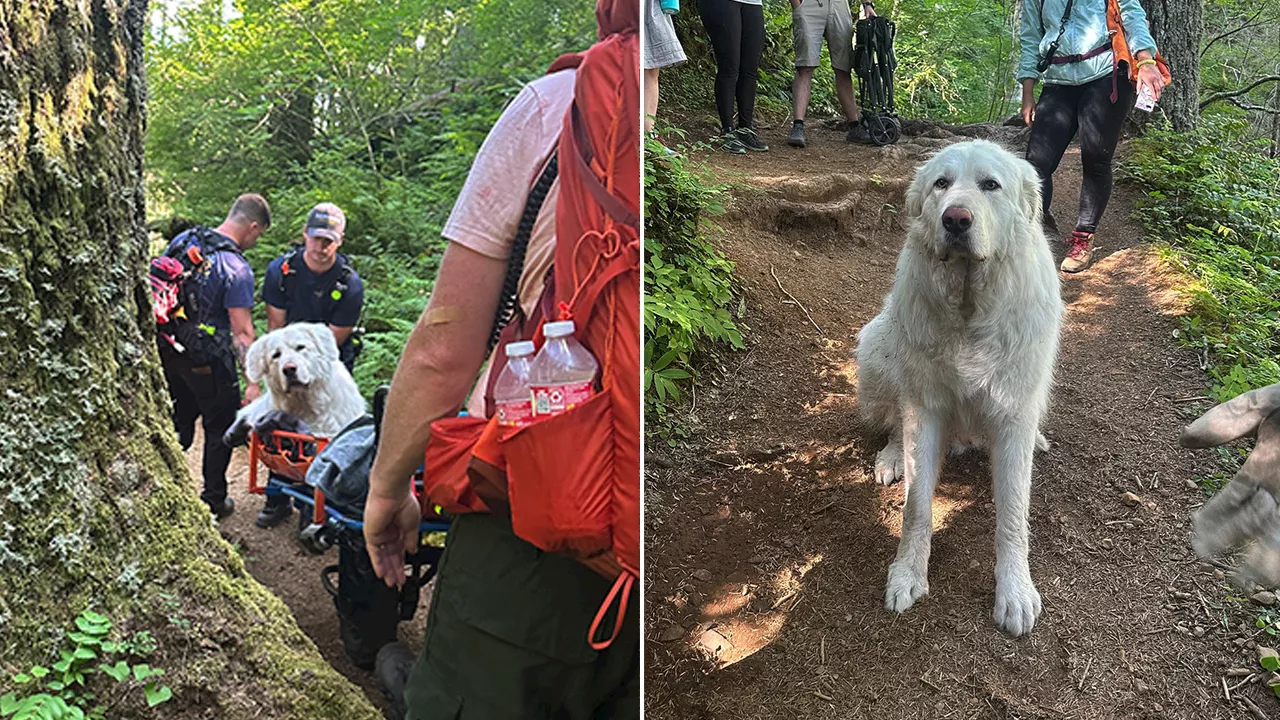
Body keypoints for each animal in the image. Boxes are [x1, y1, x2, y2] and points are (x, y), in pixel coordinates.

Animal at [855, 140, 1064, 632]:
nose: (955, 219)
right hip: (877, 347)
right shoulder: (926, 409)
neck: (971, 307)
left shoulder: (1012, 413)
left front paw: (1015, 592)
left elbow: (1013, 516)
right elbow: (916, 507)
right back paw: (892, 455)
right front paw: (907, 573)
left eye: (990, 184)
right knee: (894, 420)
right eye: (941, 184)